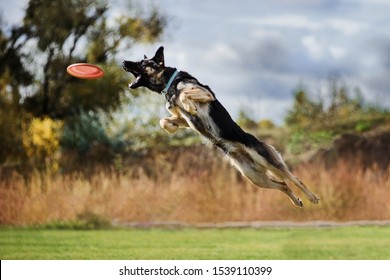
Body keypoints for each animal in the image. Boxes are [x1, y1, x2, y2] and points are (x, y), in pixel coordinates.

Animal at [122, 47, 320, 207]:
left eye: (142, 62)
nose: (123, 62)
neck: (170, 82)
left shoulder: (205, 93)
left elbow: (185, 94)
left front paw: (190, 106)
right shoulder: (183, 119)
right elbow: (164, 120)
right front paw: (171, 126)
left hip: (270, 163)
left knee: (295, 179)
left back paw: (312, 197)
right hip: (255, 177)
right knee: (283, 184)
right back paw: (297, 201)